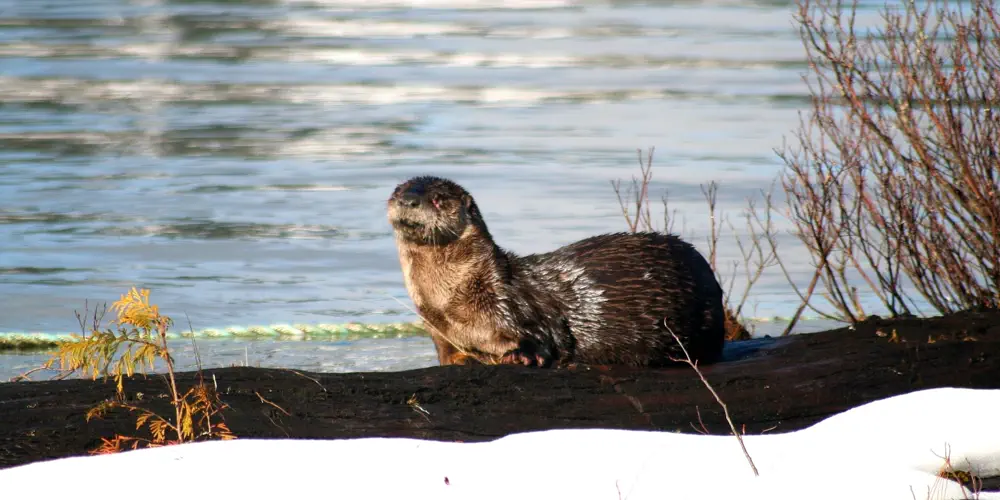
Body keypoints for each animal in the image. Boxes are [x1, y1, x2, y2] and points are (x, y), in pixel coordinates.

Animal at [387, 175, 725, 368]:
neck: (450, 304)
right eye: (398, 191)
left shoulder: (510, 301)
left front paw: (520, 355)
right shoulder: (437, 329)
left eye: (437, 199)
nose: (409, 200)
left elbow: (547, 336)